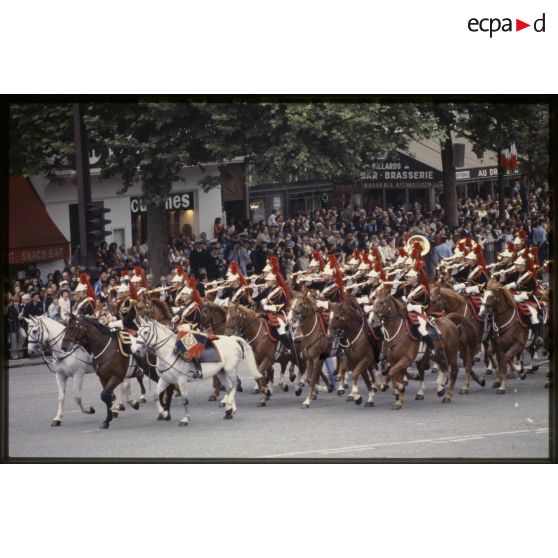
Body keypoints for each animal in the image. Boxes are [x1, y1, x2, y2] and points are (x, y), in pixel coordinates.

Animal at [133, 320, 262, 428]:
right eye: (137, 332)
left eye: (145, 332)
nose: (136, 351)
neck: (170, 353)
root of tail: (233, 339)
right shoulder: (165, 380)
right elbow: (155, 395)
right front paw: (163, 413)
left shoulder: (181, 380)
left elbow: (184, 400)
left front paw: (185, 419)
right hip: (221, 372)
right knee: (230, 387)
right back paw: (229, 411)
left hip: (230, 370)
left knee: (235, 385)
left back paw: (229, 403)